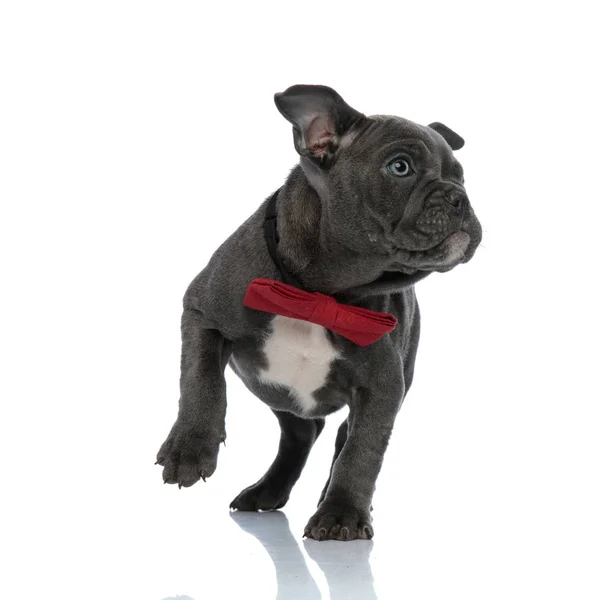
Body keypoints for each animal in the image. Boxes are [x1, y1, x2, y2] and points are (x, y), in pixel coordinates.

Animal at [156, 85, 482, 544]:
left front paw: (343, 513)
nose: (459, 197)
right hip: (271, 387)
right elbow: (200, 382)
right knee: (301, 431)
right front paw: (190, 449)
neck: (322, 293)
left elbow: (362, 451)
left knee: (339, 434)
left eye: (461, 176)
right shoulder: (202, 313)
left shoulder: (383, 386)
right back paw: (267, 490)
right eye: (400, 167)